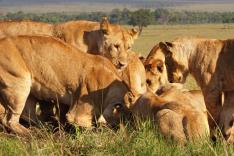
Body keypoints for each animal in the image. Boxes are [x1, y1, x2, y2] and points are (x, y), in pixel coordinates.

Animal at [0, 35, 129, 134]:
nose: (123, 132)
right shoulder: (80, 109)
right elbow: (86, 125)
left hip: (29, 91)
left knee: (28, 114)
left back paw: (44, 126)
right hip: (19, 84)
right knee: (9, 120)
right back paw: (29, 133)